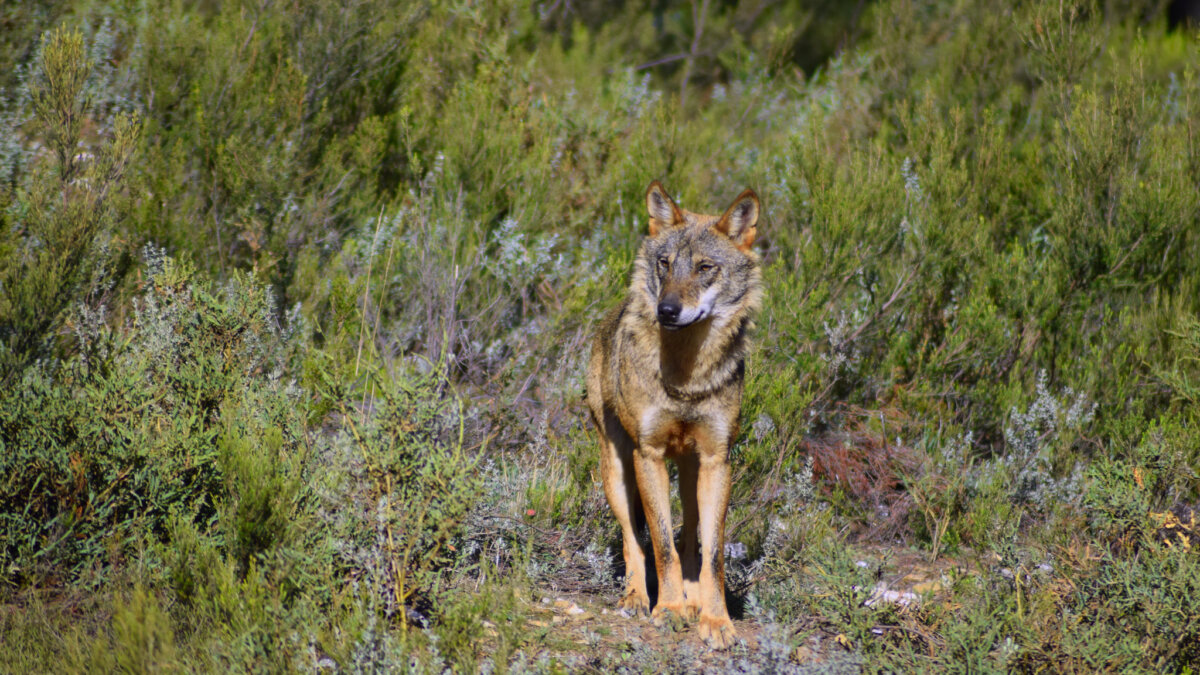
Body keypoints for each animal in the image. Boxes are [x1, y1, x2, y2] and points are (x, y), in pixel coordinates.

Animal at [586, 181, 761, 649]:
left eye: (705, 268)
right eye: (665, 264)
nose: (666, 310)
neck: (687, 379)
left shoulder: (718, 460)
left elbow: (712, 554)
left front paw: (715, 619)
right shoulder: (648, 454)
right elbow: (661, 544)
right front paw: (667, 610)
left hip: (690, 470)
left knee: (691, 541)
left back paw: (692, 596)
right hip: (617, 470)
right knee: (634, 540)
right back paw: (636, 598)